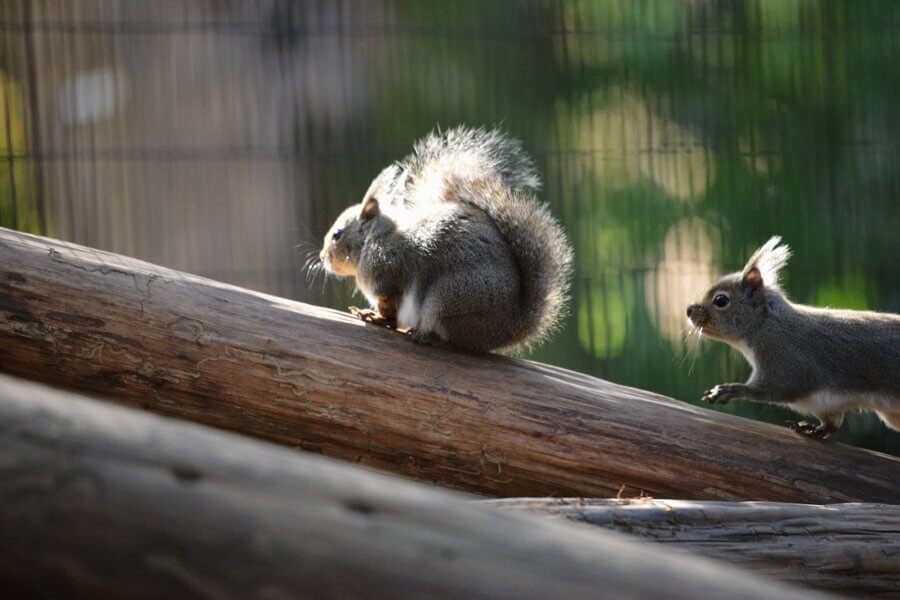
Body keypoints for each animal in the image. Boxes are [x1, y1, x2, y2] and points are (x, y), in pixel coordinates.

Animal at [320, 126, 572, 352]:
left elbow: (390, 311)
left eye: (337, 235)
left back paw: (427, 337)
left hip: (449, 298)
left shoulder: (389, 278)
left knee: (452, 339)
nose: (323, 258)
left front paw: (373, 316)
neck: (373, 239)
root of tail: (510, 327)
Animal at [684, 237, 896, 438]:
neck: (765, 324)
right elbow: (831, 423)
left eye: (721, 300)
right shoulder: (826, 406)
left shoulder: (786, 362)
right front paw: (813, 429)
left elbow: (774, 389)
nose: (689, 311)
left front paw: (727, 390)